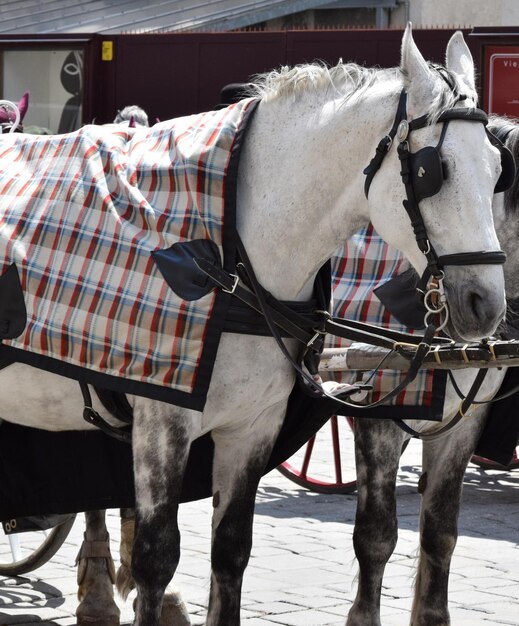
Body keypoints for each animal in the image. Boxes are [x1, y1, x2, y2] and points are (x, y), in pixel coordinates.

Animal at [0, 28, 508, 624]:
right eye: (431, 172)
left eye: (498, 170)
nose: (486, 305)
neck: (233, 252)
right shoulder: (162, 419)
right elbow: (155, 559)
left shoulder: (253, 425)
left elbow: (232, 551)